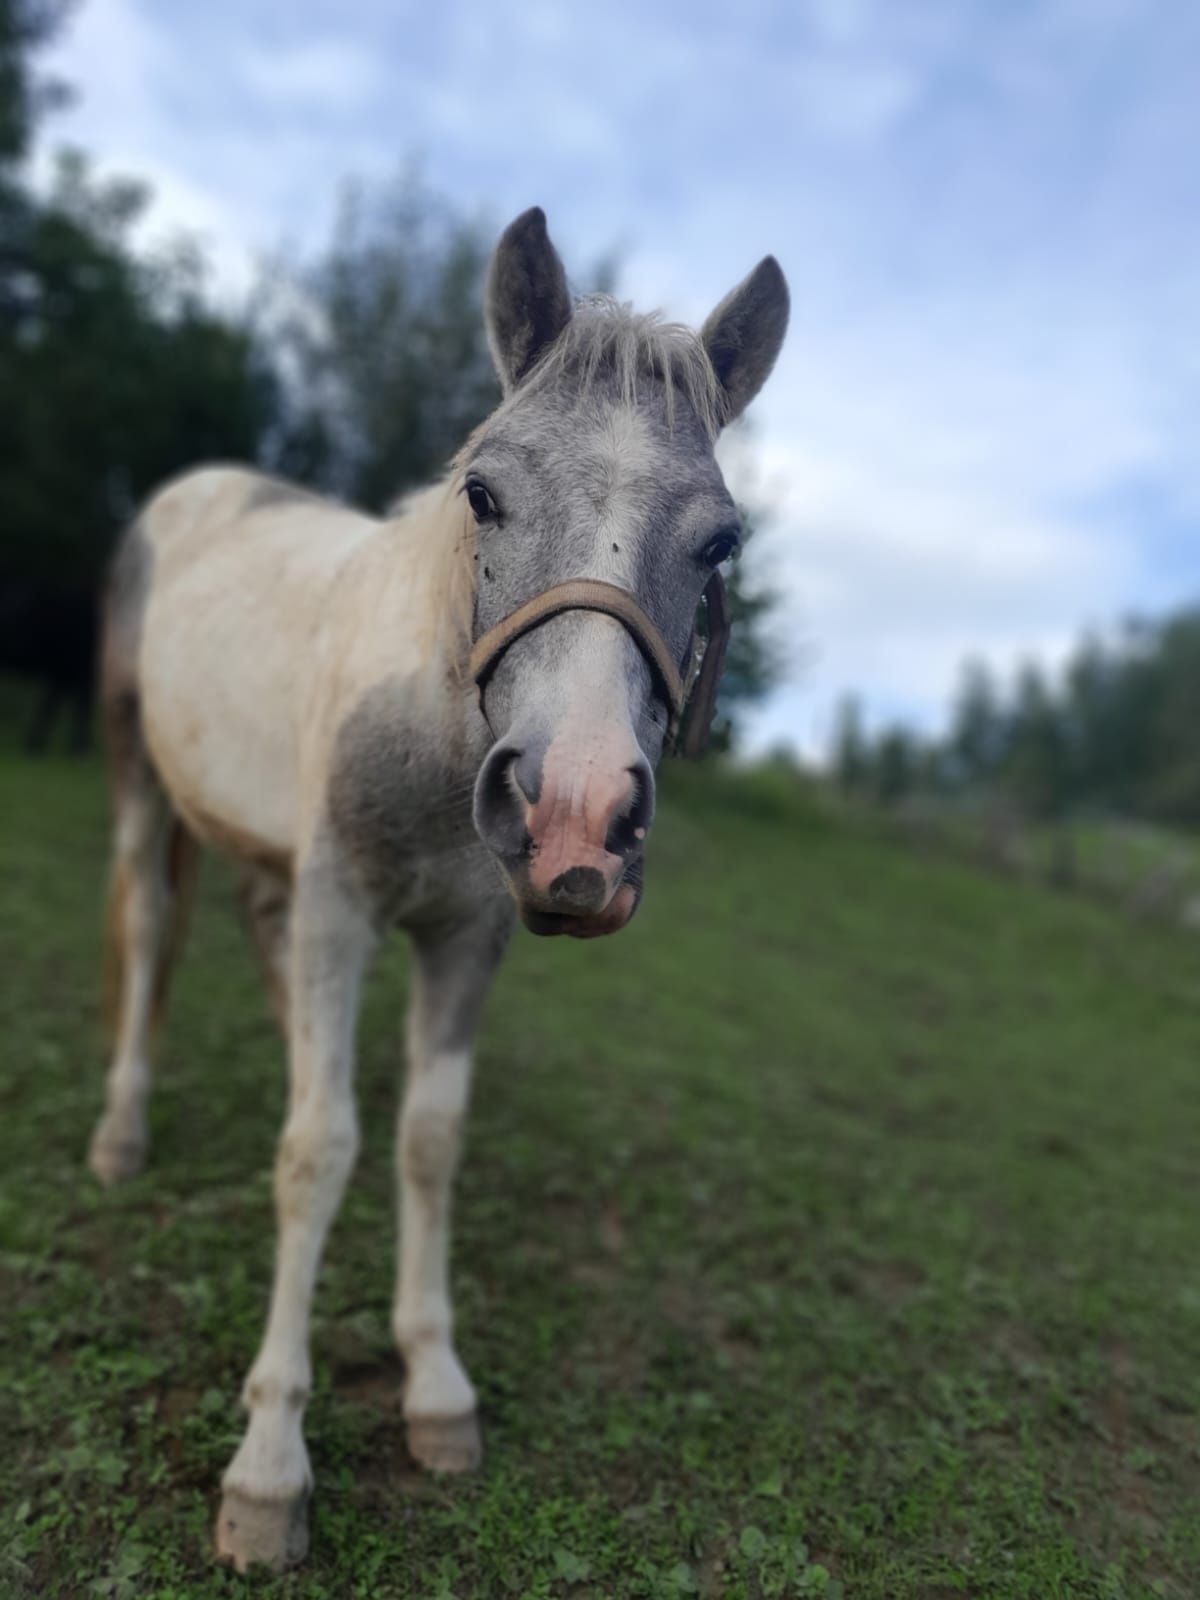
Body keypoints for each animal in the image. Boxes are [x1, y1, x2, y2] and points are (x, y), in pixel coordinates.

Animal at [89, 206, 793, 1568]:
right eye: (484, 491)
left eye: (721, 539)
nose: (576, 813)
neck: (427, 726)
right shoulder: (342, 911)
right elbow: (316, 1148)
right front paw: (269, 1466)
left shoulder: (466, 940)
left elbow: (423, 1138)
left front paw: (435, 1387)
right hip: (144, 776)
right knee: (150, 932)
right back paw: (121, 1134)